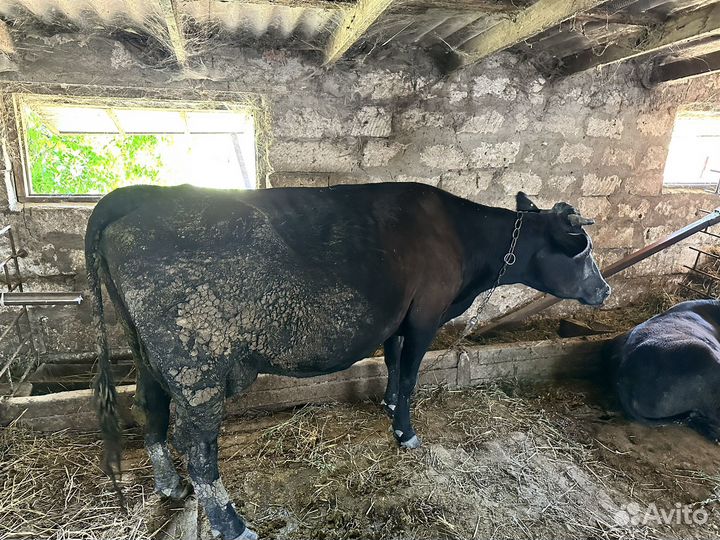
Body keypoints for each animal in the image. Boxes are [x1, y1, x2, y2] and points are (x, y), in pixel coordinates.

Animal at [85, 182, 610, 540]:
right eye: (583, 251)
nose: (605, 290)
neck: (460, 239)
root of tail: (141, 195)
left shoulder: (399, 319)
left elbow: (394, 363)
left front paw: (388, 406)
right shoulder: (425, 315)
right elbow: (412, 373)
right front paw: (406, 431)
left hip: (147, 354)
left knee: (150, 409)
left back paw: (170, 486)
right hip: (197, 364)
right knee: (197, 444)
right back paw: (231, 523)